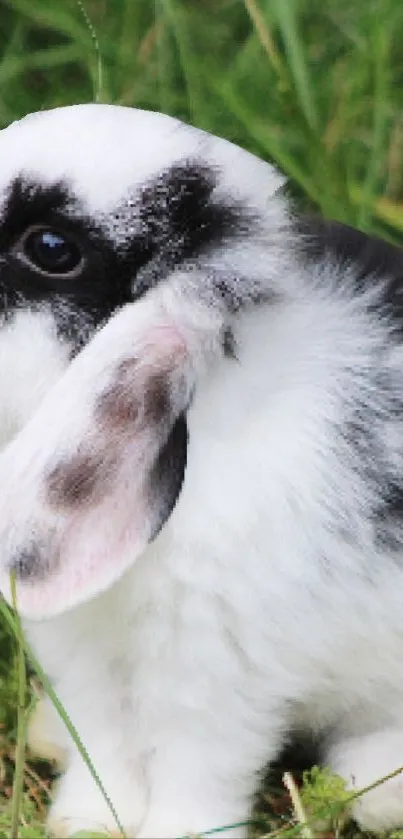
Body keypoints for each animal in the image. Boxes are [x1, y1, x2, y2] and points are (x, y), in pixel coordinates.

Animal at [0, 101, 403, 836]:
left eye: (51, 248)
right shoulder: (88, 663)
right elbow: (107, 747)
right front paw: (90, 822)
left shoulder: (215, 681)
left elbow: (197, 773)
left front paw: (173, 832)